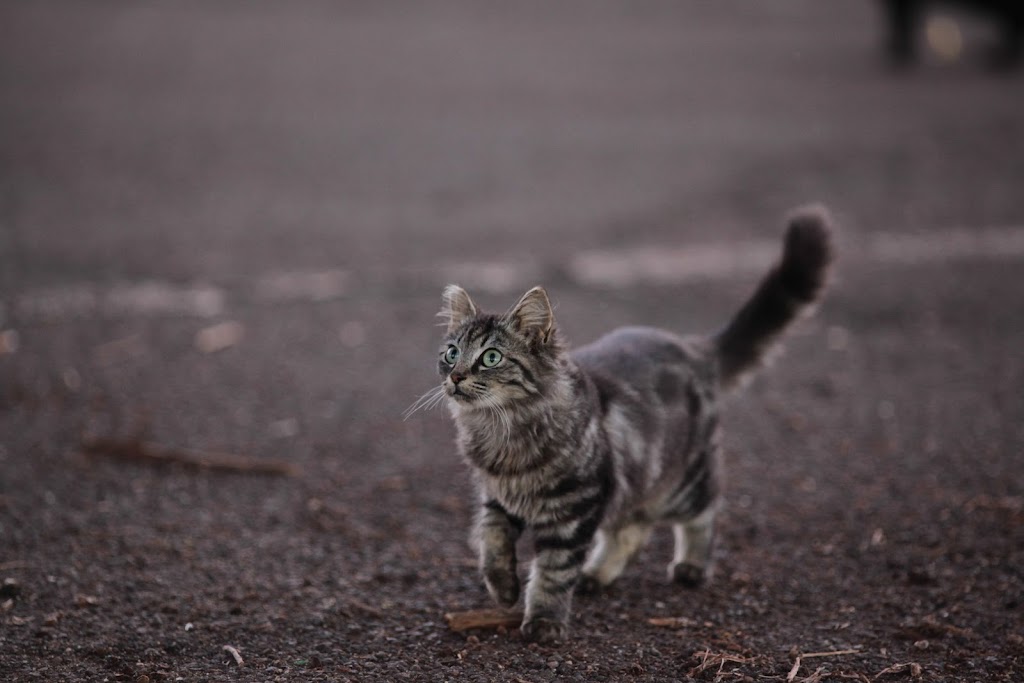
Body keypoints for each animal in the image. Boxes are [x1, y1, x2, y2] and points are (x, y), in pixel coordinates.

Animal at [415, 205, 831, 643]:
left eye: (491, 357)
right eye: (451, 352)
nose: (455, 376)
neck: (503, 429)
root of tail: (692, 346)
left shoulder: (576, 507)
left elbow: (553, 571)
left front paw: (544, 620)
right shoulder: (496, 496)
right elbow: (490, 540)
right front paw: (504, 587)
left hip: (680, 484)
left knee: (704, 512)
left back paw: (691, 566)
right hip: (634, 485)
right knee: (632, 530)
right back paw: (596, 576)